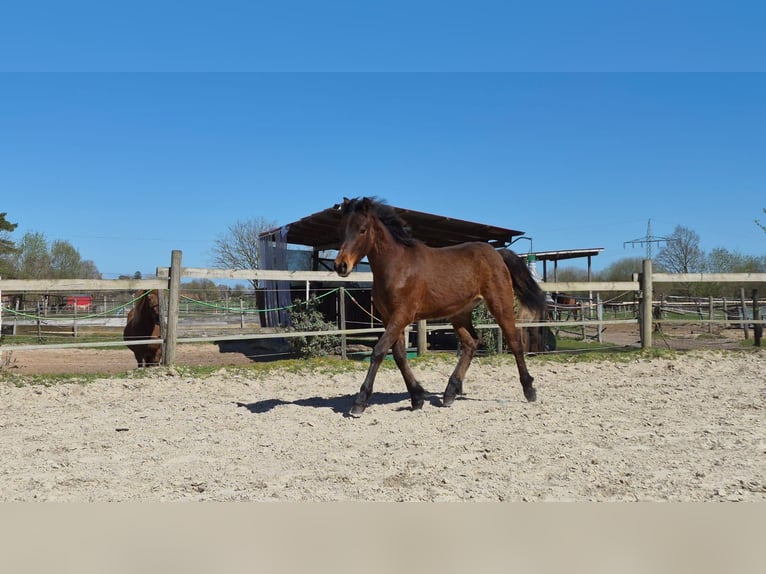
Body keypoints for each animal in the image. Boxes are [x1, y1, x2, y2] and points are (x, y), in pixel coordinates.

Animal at [333, 197, 547, 417]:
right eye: (342, 229)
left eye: (362, 229)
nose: (341, 265)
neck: (398, 267)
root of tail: (497, 253)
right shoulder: (388, 318)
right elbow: (399, 355)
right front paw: (417, 398)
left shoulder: (402, 315)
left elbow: (379, 351)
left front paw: (359, 402)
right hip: (459, 313)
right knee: (471, 343)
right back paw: (450, 393)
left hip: (500, 304)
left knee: (514, 342)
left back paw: (529, 390)